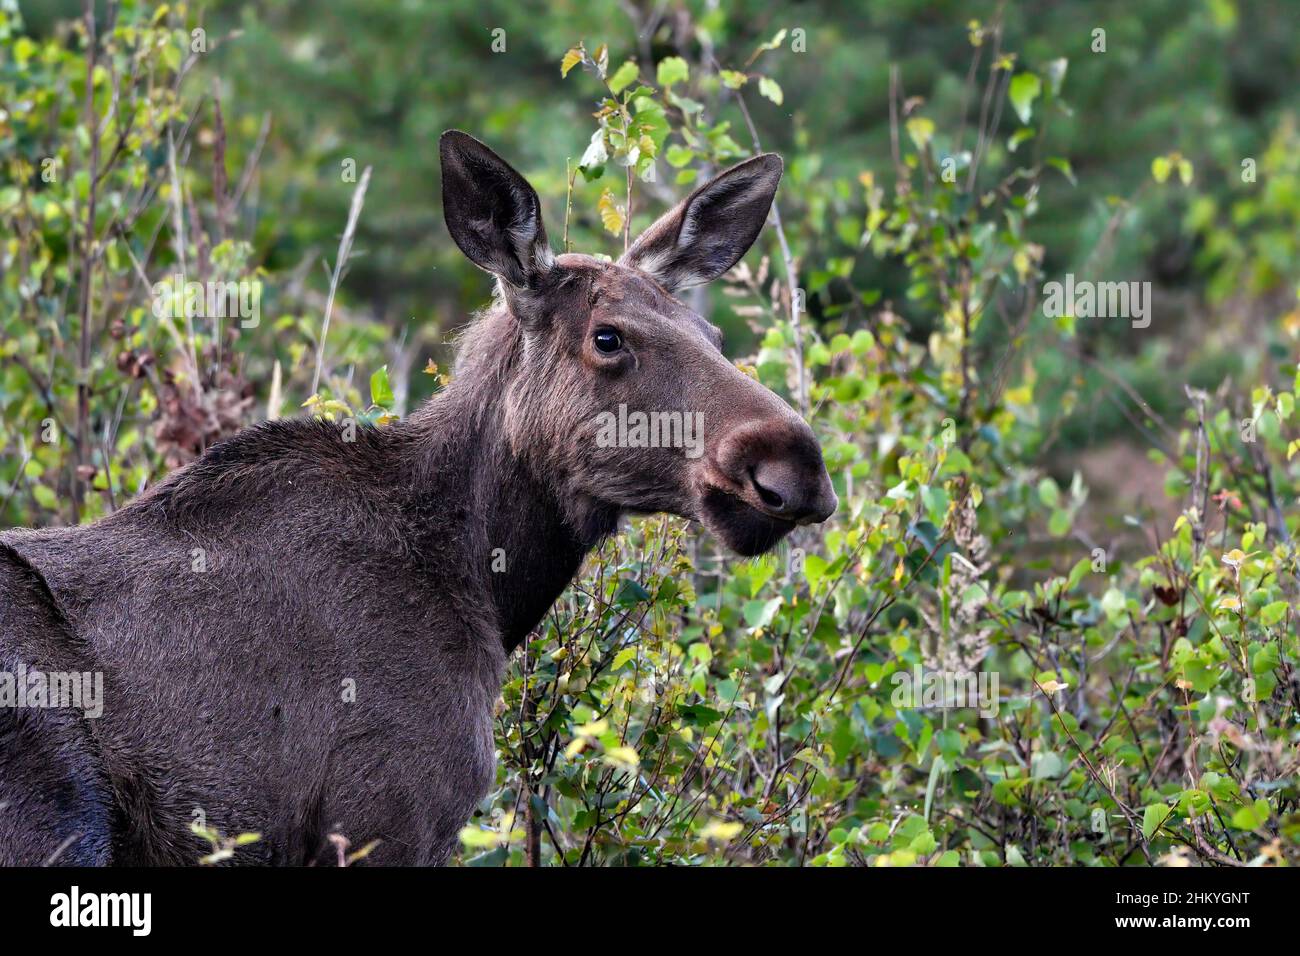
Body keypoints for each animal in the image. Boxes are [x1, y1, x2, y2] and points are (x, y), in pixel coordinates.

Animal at [0, 131, 837, 866]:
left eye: (713, 335)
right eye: (607, 337)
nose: (794, 466)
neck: (485, 582)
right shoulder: (390, 812)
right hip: (60, 815)